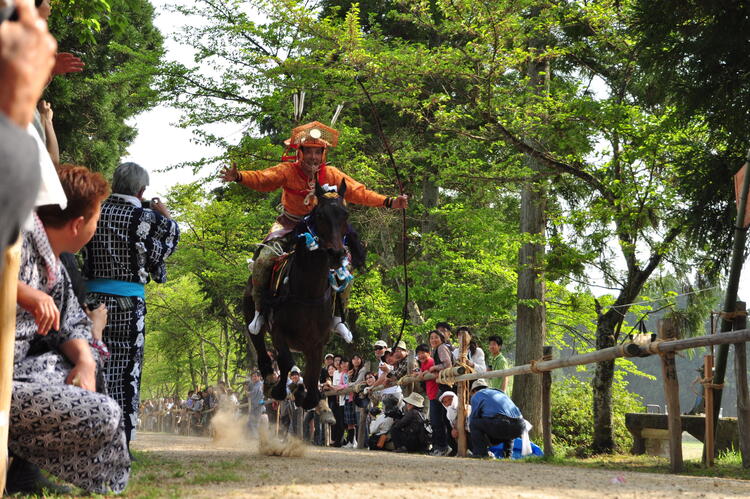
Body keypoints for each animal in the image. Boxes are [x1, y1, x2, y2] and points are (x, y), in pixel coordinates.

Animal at [247, 180, 352, 422]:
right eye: (320, 215)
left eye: (345, 214)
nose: (336, 254)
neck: (308, 292)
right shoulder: (279, 333)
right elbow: (287, 363)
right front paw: (284, 388)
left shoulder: (317, 344)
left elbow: (312, 381)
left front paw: (315, 401)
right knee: (261, 347)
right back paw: (270, 380)